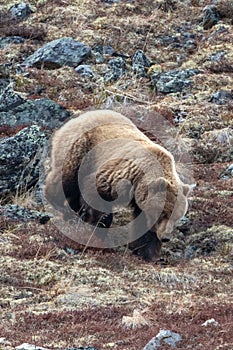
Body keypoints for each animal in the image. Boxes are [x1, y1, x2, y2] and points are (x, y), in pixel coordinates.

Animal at [44, 109, 191, 260]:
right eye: (163, 213)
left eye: (177, 216)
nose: (166, 237)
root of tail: (79, 117)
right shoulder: (118, 176)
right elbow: (97, 197)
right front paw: (100, 229)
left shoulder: (141, 199)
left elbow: (144, 225)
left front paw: (146, 252)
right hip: (79, 150)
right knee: (66, 180)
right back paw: (60, 205)